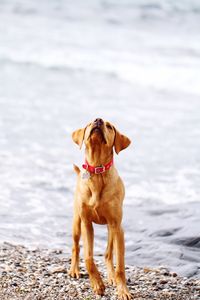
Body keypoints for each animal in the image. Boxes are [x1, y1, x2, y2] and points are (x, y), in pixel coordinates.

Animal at [68, 118, 131, 300]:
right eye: (89, 123)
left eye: (109, 126)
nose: (98, 120)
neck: (97, 171)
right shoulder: (86, 223)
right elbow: (88, 257)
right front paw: (97, 284)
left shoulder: (117, 226)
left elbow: (120, 266)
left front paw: (122, 290)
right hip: (76, 223)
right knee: (76, 247)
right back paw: (74, 269)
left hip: (111, 229)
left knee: (108, 254)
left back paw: (111, 276)